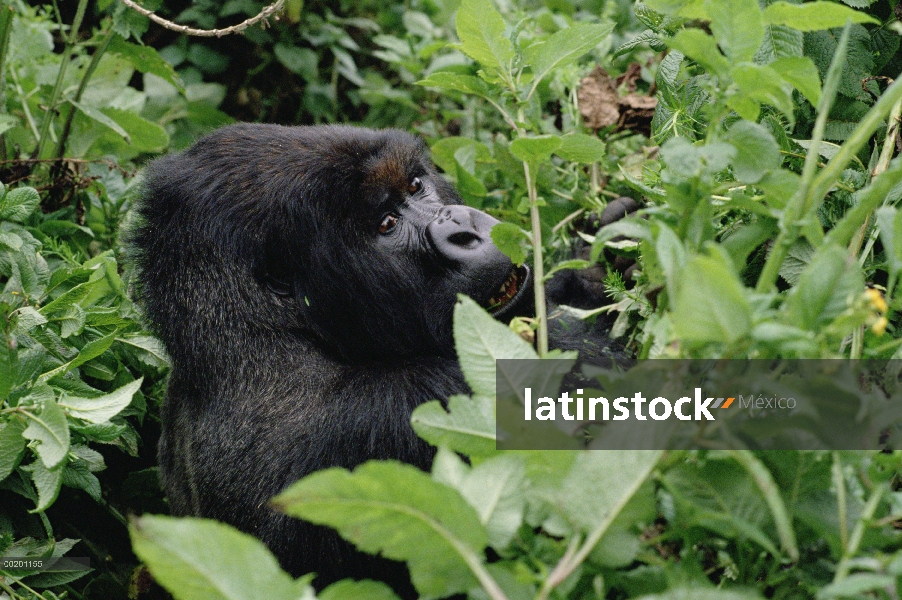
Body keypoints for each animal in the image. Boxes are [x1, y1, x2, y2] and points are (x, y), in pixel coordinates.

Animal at [129, 124, 636, 596]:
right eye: (387, 224)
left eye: (415, 186)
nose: (464, 227)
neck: (257, 342)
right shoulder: (415, 406)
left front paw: (605, 257)